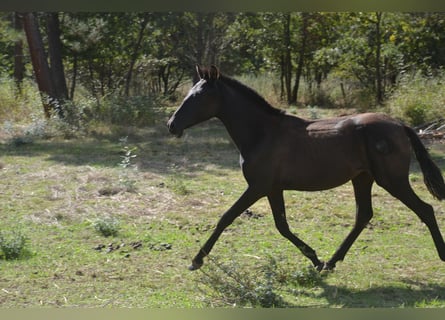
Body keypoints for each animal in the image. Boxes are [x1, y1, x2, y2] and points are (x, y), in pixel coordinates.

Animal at [166, 66, 444, 272]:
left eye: (198, 96)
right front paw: (315, 259)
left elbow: (227, 217)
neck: (262, 133)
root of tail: (400, 125)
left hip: (392, 180)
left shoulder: (258, 186)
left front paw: (196, 260)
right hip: (363, 179)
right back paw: (331, 262)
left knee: (425, 210)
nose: (171, 125)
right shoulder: (272, 189)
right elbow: (282, 226)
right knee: (363, 215)